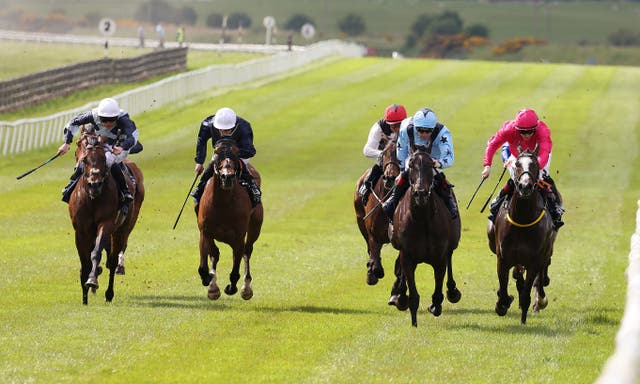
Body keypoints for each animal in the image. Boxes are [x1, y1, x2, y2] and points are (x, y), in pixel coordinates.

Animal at [70, 140, 145, 304]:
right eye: (85, 159)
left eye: (104, 159)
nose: (94, 184)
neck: (93, 199)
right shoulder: (81, 231)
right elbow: (85, 262)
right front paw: (84, 297)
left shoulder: (107, 223)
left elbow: (96, 253)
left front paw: (92, 280)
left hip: (123, 229)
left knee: (113, 258)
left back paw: (109, 292)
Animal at [196, 137, 264, 300]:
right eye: (216, 152)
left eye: (236, 152)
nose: (227, 176)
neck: (223, 204)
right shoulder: (205, 232)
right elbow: (206, 262)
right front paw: (210, 282)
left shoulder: (239, 237)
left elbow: (235, 271)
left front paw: (232, 288)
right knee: (215, 254)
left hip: (255, 229)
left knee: (247, 251)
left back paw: (246, 288)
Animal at [356, 138, 400, 284]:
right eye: (384, 153)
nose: (390, 178)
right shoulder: (373, 234)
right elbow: (375, 261)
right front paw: (372, 272)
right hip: (360, 220)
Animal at [388, 146, 462, 326]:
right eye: (411, 165)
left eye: (430, 165)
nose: (420, 193)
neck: (421, 219)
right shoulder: (407, 256)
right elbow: (413, 295)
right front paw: (411, 318)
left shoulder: (439, 257)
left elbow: (438, 289)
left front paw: (435, 305)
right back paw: (399, 294)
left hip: (453, 241)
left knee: (450, 257)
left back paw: (452, 291)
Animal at [488, 147, 556, 324]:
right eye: (517, 164)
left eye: (535, 165)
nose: (525, 186)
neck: (522, 219)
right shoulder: (503, 258)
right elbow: (504, 286)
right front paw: (502, 304)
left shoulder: (534, 261)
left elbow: (527, 290)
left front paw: (524, 318)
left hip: (546, 251)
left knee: (541, 273)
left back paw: (540, 299)